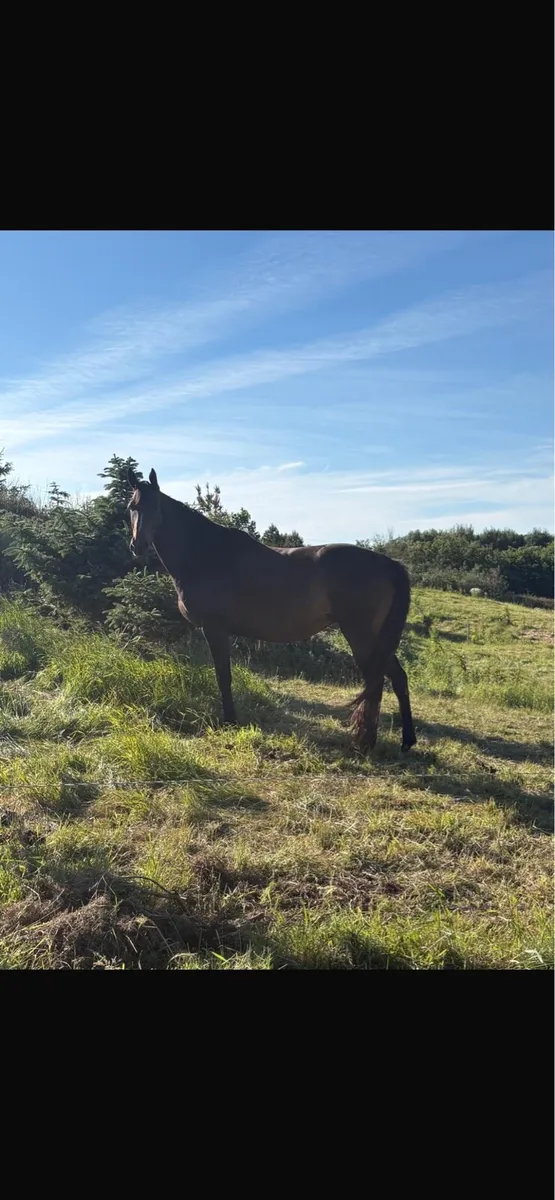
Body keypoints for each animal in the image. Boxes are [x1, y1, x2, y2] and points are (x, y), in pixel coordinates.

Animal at [127, 468, 416, 753]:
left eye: (156, 506)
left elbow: (223, 676)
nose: (137, 546)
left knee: (376, 682)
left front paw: (230, 721)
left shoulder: (215, 629)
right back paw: (406, 741)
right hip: (379, 638)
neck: (205, 553)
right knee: (397, 678)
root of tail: (389, 564)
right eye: (132, 506)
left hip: (361, 635)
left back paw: (366, 741)